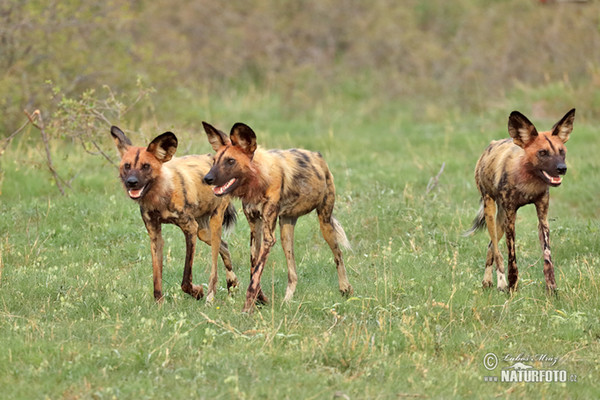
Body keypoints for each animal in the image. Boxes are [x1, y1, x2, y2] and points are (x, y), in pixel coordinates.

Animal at [111, 126, 238, 302]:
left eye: (146, 166)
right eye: (127, 166)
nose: (131, 182)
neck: (160, 196)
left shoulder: (190, 229)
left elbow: (186, 280)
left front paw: (197, 292)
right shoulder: (155, 236)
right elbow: (157, 277)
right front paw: (159, 303)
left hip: (213, 222)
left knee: (216, 260)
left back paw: (213, 295)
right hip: (203, 232)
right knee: (224, 247)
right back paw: (232, 284)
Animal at [203, 122, 352, 312]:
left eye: (231, 161)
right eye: (214, 161)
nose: (207, 178)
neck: (258, 179)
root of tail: (318, 156)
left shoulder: (268, 237)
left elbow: (255, 274)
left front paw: (247, 308)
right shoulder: (256, 230)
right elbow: (254, 268)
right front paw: (260, 299)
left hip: (325, 223)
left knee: (338, 254)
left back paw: (345, 288)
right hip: (285, 231)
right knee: (292, 272)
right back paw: (287, 301)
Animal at [466, 109, 576, 290]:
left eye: (562, 152)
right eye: (542, 153)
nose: (562, 169)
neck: (528, 182)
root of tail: (490, 146)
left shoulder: (542, 218)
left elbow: (547, 256)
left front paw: (552, 289)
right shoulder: (511, 218)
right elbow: (512, 257)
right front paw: (512, 287)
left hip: (500, 220)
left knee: (491, 247)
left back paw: (488, 282)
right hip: (491, 211)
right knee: (496, 249)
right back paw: (501, 283)